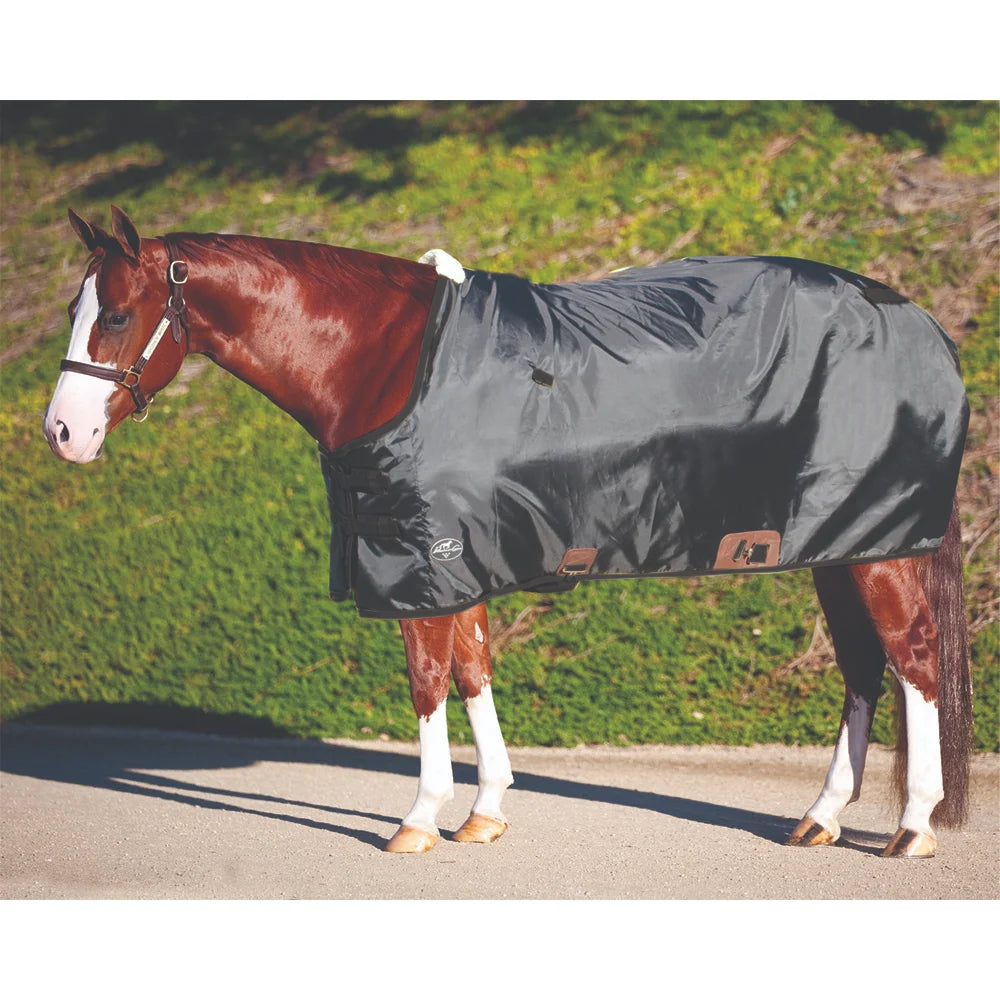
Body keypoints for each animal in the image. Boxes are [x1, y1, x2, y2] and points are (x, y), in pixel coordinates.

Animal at [43, 205, 974, 859]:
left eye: (117, 316)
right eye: (77, 310)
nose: (63, 433)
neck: (384, 359)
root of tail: (921, 323)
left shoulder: (419, 563)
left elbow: (426, 683)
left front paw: (419, 819)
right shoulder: (458, 560)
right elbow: (473, 673)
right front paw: (484, 812)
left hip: (882, 548)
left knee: (914, 660)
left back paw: (913, 828)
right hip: (842, 545)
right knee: (863, 669)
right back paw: (820, 816)